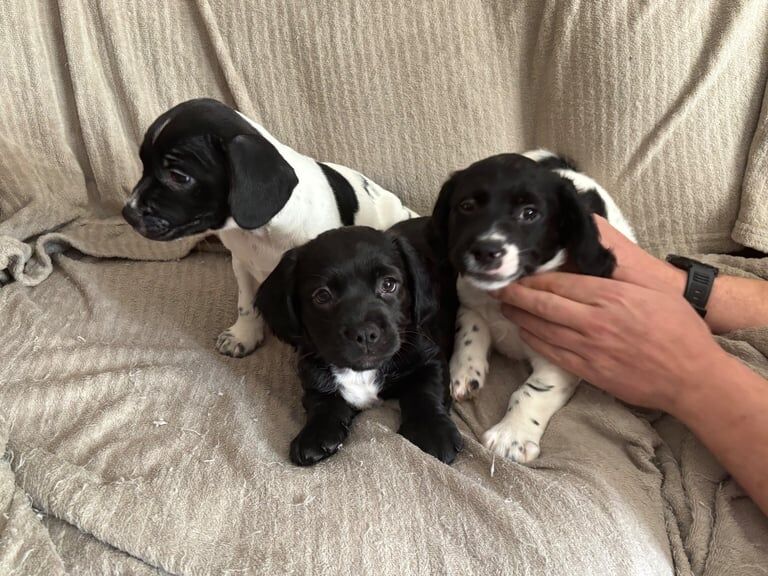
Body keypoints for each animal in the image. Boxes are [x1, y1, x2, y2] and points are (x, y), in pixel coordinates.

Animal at [123, 99, 416, 358]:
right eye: (143, 164)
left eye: (179, 177)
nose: (127, 213)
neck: (259, 232)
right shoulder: (242, 263)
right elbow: (246, 304)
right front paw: (244, 335)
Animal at [256, 220, 462, 468]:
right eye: (322, 296)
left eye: (389, 284)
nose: (364, 333)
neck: (362, 372)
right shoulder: (310, 369)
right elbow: (321, 400)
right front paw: (315, 434)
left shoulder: (429, 356)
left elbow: (425, 389)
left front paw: (432, 431)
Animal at [432, 150, 636, 464]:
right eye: (466, 206)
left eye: (529, 213)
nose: (486, 251)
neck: (504, 296)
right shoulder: (470, 302)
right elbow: (470, 333)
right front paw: (464, 371)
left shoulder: (562, 351)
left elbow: (532, 391)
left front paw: (511, 435)